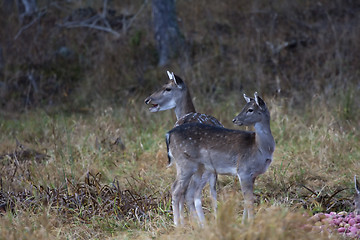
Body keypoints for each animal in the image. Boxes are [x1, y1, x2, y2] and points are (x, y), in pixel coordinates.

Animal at [143, 72, 222, 222]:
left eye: (167, 88)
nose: (147, 100)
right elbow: (213, 191)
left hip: (183, 164)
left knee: (182, 191)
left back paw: (183, 222)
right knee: (190, 192)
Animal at [167, 93, 276, 226]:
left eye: (250, 109)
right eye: (245, 107)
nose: (235, 119)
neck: (259, 147)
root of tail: (169, 134)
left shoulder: (253, 175)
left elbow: (247, 199)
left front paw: (243, 222)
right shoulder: (243, 170)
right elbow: (249, 200)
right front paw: (250, 223)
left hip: (193, 167)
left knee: (188, 192)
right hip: (186, 164)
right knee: (176, 189)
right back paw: (179, 226)